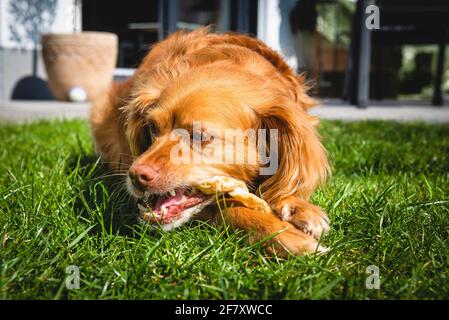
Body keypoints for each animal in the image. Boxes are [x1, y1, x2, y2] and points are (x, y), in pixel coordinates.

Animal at [90, 28, 328, 258]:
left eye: (199, 136)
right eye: (152, 128)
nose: (135, 176)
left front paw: (299, 207)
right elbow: (232, 208)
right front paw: (284, 235)